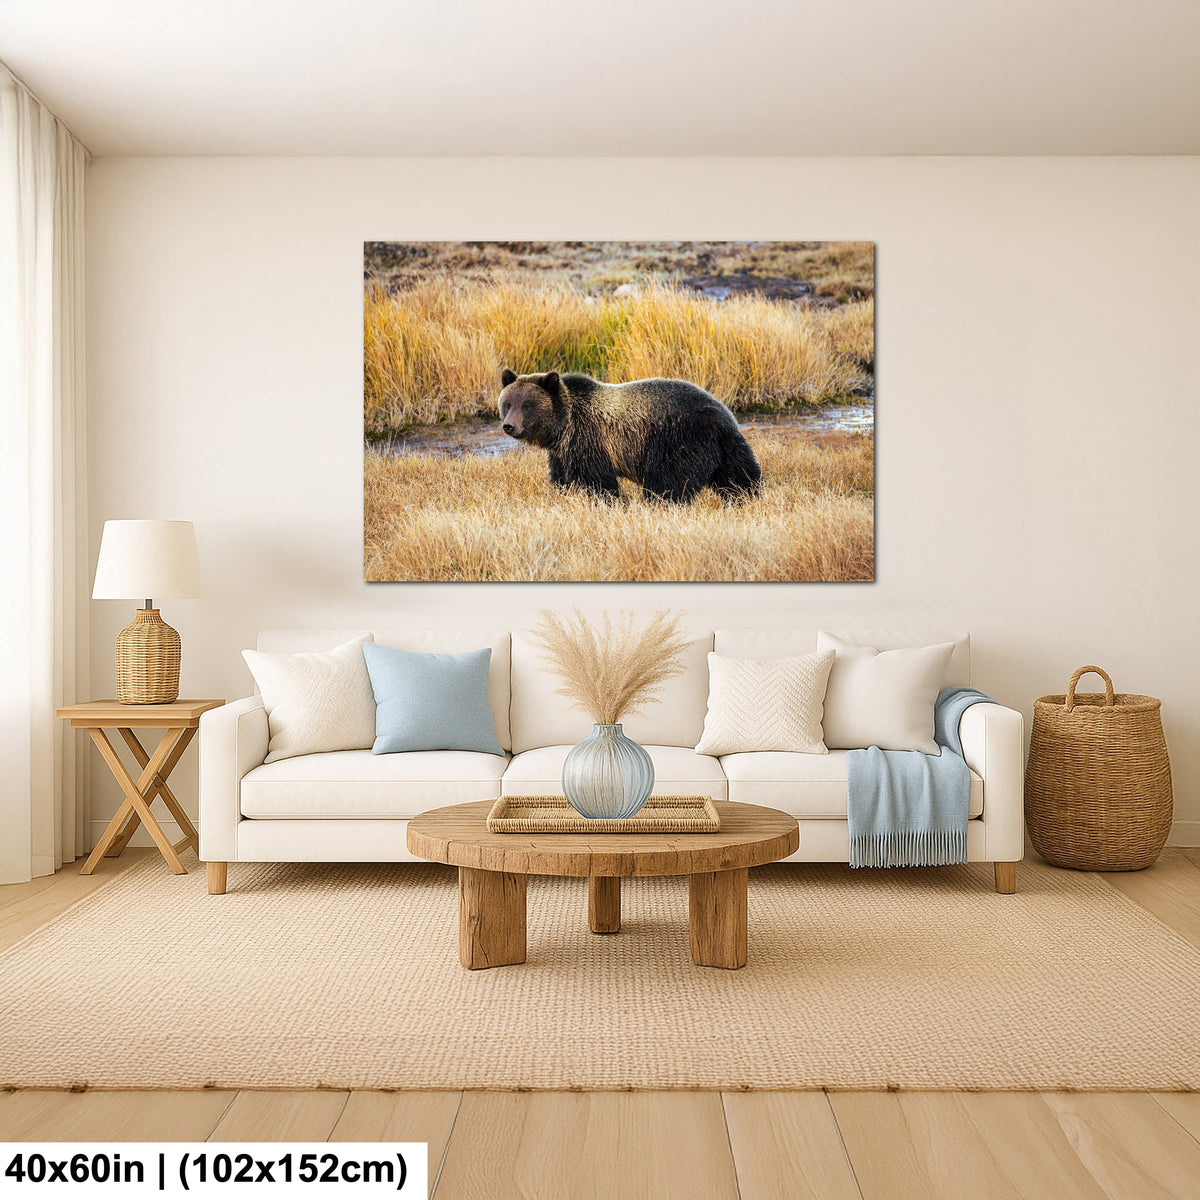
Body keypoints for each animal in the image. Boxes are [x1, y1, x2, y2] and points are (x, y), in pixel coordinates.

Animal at [496, 369, 761, 504]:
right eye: (508, 403)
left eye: (527, 405)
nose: (509, 426)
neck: (563, 426)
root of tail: (720, 415)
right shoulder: (564, 450)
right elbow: (563, 478)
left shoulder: (589, 438)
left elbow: (596, 481)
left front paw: (608, 501)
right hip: (728, 446)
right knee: (740, 476)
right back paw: (747, 498)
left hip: (678, 439)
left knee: (667, 481)